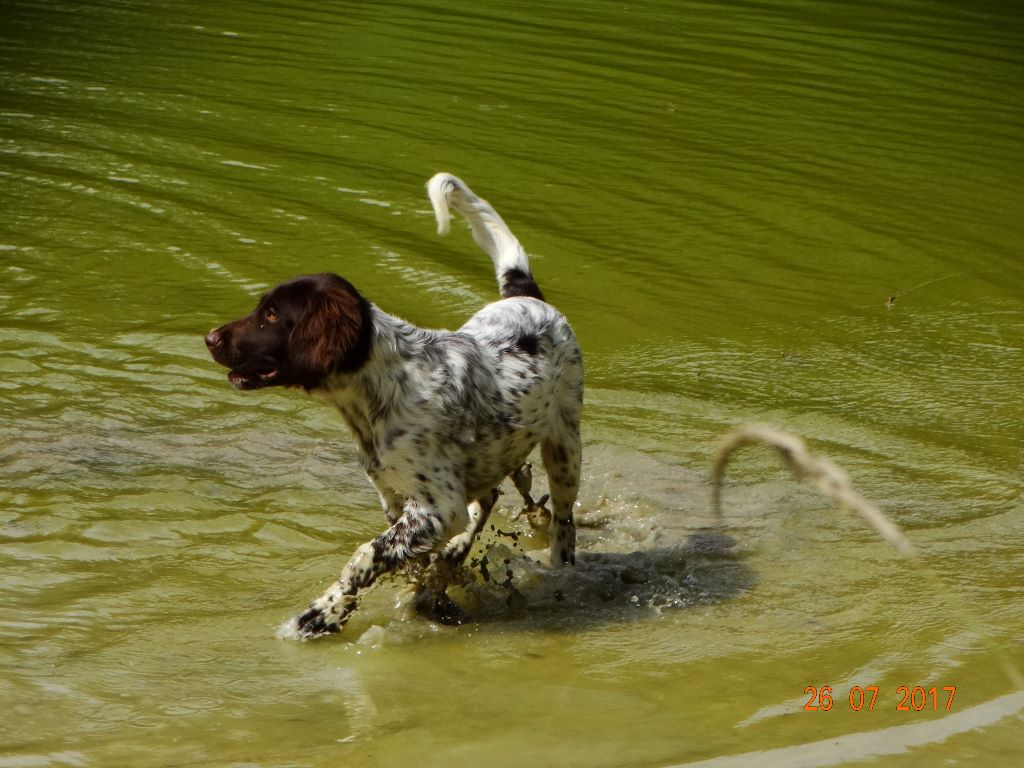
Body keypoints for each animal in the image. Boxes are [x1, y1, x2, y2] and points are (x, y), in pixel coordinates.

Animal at [205, 174, 585, 638]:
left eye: (274, 315)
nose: (210, 338)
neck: (379, 391)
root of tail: (529, 297)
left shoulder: (436, 506)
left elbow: (364, 556)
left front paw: (320, 615)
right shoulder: (396, 499)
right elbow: (404, 558)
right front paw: (426, 589)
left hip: (564, 447)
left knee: (563, 521)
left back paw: (559, 571)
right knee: (488, 496)